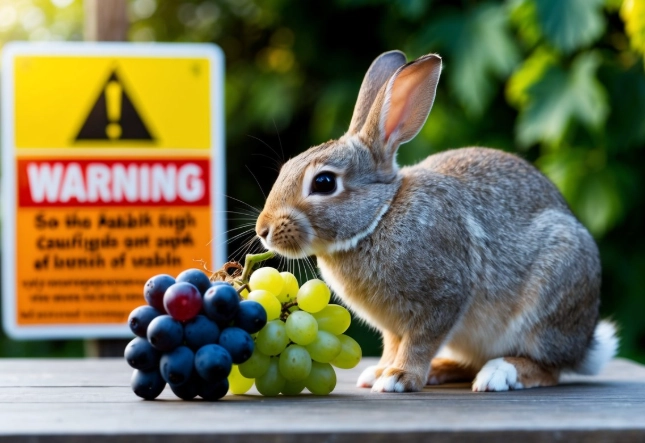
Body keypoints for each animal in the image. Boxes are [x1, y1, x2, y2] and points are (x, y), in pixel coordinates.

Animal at [254, 50, 618, 392]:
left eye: (324, 183)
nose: (263, 230)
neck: (379, 216)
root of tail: (584, 345)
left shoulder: (443, 299)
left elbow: (419, 343)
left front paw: (399, 377)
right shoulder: (393, 325)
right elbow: (393, 345)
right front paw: (378, 373)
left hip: (549, 301)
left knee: (547, 368)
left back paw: (500, 373)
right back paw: (443, 370)